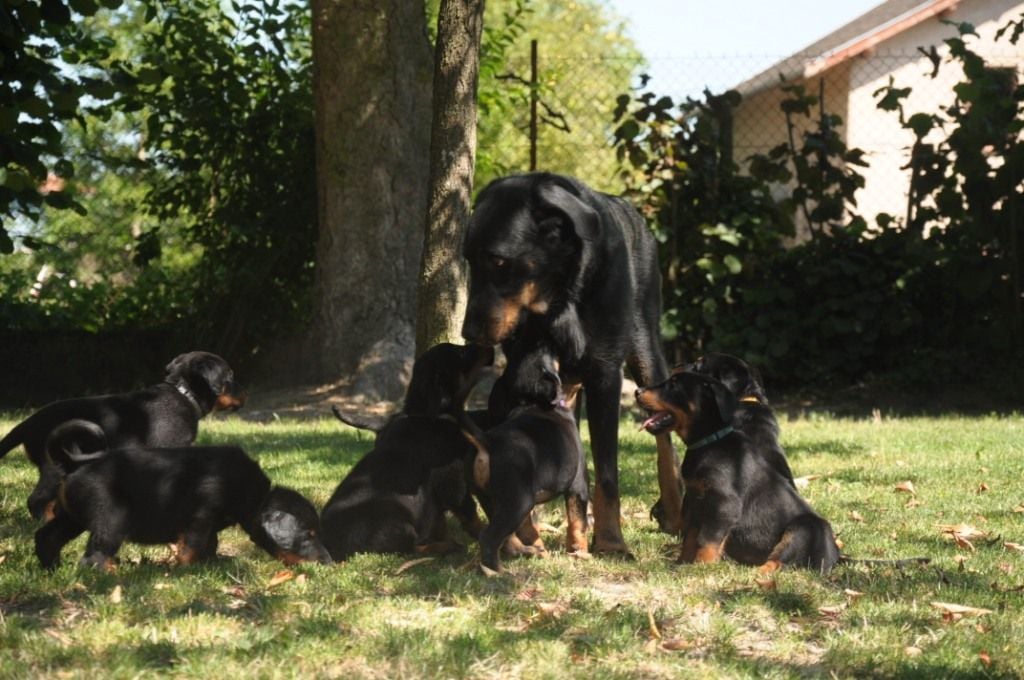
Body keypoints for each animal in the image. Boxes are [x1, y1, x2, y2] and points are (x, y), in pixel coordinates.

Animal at [0, 352, 245, 518]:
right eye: (230, 377)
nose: (246, 395)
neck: (186, 395)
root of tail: (27, 423)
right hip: (54, 464)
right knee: (38, 501)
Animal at [35, 419, 331, 569]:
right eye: (307, 536)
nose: (328, 562)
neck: (253, 495)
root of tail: (74, 463)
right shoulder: (202, 516)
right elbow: (195, 544)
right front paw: (187, 569)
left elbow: (210, 543)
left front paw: (211, 564)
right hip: (113, 518)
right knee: (94, 556)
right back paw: (115, 574)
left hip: (72, 517)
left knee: (47, 537)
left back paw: (52, 568)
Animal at [319, 342, 495, 561]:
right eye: (461, 353)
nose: (490, 346)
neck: (427, 415)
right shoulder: (452, 478)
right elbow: (469, 514)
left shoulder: (434, 499)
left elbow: (440, 522)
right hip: (397, 523)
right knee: (411, 548)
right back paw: (446, 547)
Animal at [462, 173, 684, 557]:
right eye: (468, 261)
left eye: (499, 262)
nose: (468, 333)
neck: (558, 293)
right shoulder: (518, 373)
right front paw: (528, 533)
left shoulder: (606, 375)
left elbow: (608, 473)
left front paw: (610, 541)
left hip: (646, 346)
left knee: (664, 441)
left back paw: (672, 511)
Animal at [634, 372, 843, 573]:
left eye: (674, 384)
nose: (637, 391)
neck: (710, 442)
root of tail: (836, 558)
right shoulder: (695, 501)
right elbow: (690, 538)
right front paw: (682, 565)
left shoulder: (724, 503)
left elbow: (706, 540)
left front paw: (700, 568)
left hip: (806, 527)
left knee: (778, 562)